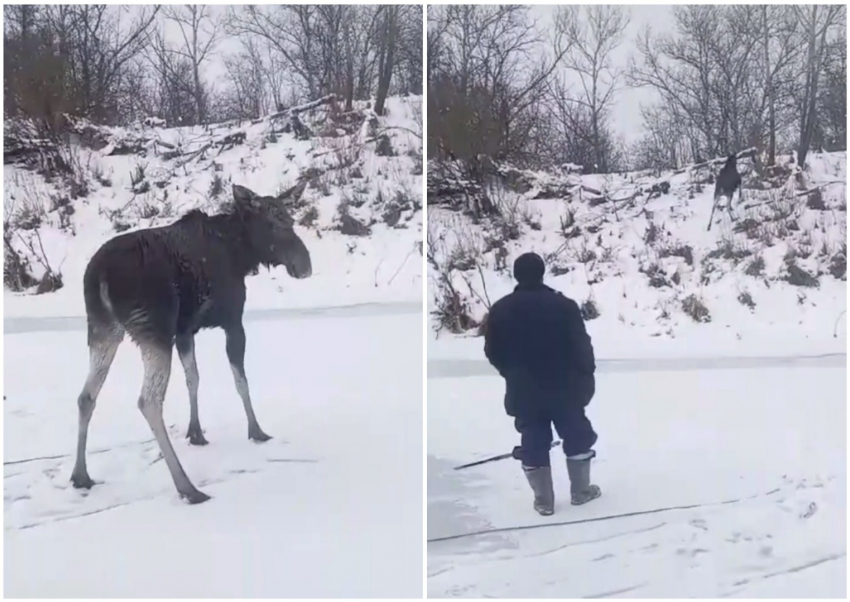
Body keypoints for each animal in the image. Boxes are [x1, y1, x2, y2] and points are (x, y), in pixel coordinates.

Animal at [70, 182, 312, 502]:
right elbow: (241, 381)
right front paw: (256, 430)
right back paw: (187, 487)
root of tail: (100, 276)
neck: (241, 254)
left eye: (291, 219)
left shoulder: (185, 331)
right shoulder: (233, 321)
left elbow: (193, 378)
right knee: (148, 401)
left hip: (103, 328)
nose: (304, 265)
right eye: (272, 223)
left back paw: (81, 475)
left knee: (86, 396)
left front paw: (195, 433)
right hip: (153, 330)